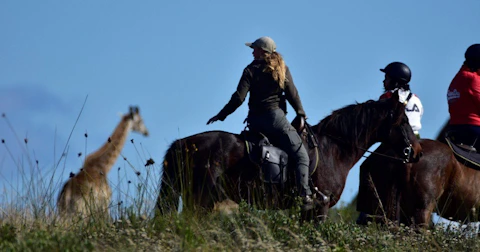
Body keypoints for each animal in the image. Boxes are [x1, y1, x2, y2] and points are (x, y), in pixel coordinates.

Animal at [157, 91, 420, 220]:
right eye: (404, 121)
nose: (416, 152)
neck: (333, 150)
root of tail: (183, 144)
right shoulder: (320, 208)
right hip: (201, 201)